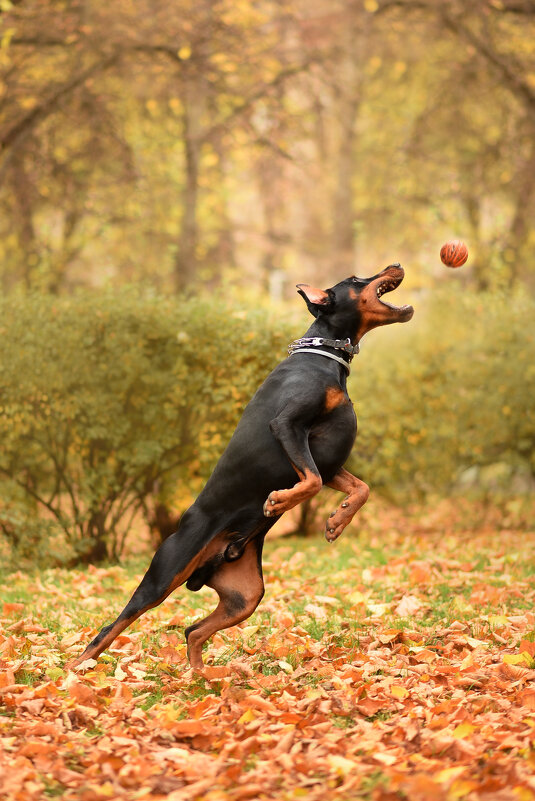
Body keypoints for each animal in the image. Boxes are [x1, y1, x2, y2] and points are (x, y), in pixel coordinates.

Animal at [70, 262, 414, 668]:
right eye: (358, 280)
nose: (397, 265)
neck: (324, 356)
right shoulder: (287, 425)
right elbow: (311, 482)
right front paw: (279, 501)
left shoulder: (327, 461)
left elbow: (360, 487)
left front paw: (337, 520)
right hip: (164, 575)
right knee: (110, 628)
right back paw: (70, 673)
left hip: (245, 595)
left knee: (193, 631)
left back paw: (203, 677)